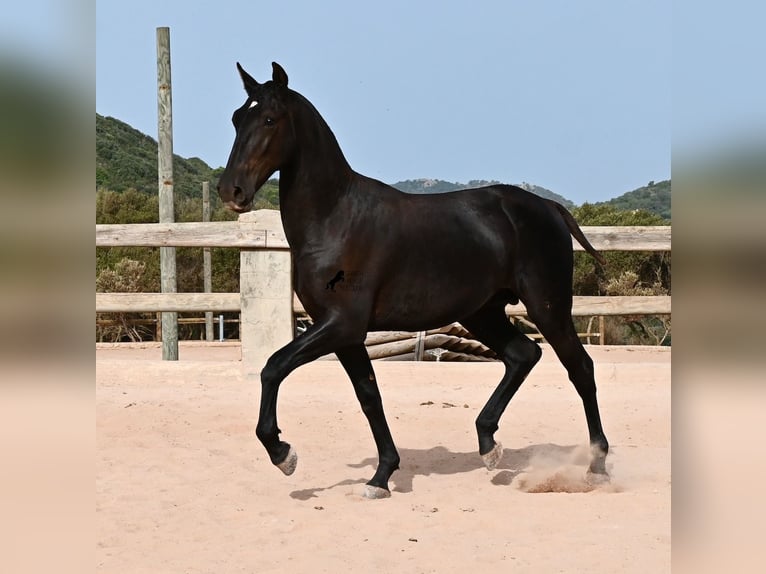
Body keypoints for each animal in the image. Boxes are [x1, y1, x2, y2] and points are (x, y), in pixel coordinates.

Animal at [217, 62, 609, 498]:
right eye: (237, 118)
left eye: (270, 119)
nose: (231, 190)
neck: (336, 218)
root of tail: (549, 207)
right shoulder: (345, 333)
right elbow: (369, 395)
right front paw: (381, 476)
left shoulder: (341, 324)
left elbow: (273, 366)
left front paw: (283, 453)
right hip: (482, 312)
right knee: (523, 355)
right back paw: (488, 444)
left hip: (548, 306)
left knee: (580, 368)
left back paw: (596, 466)